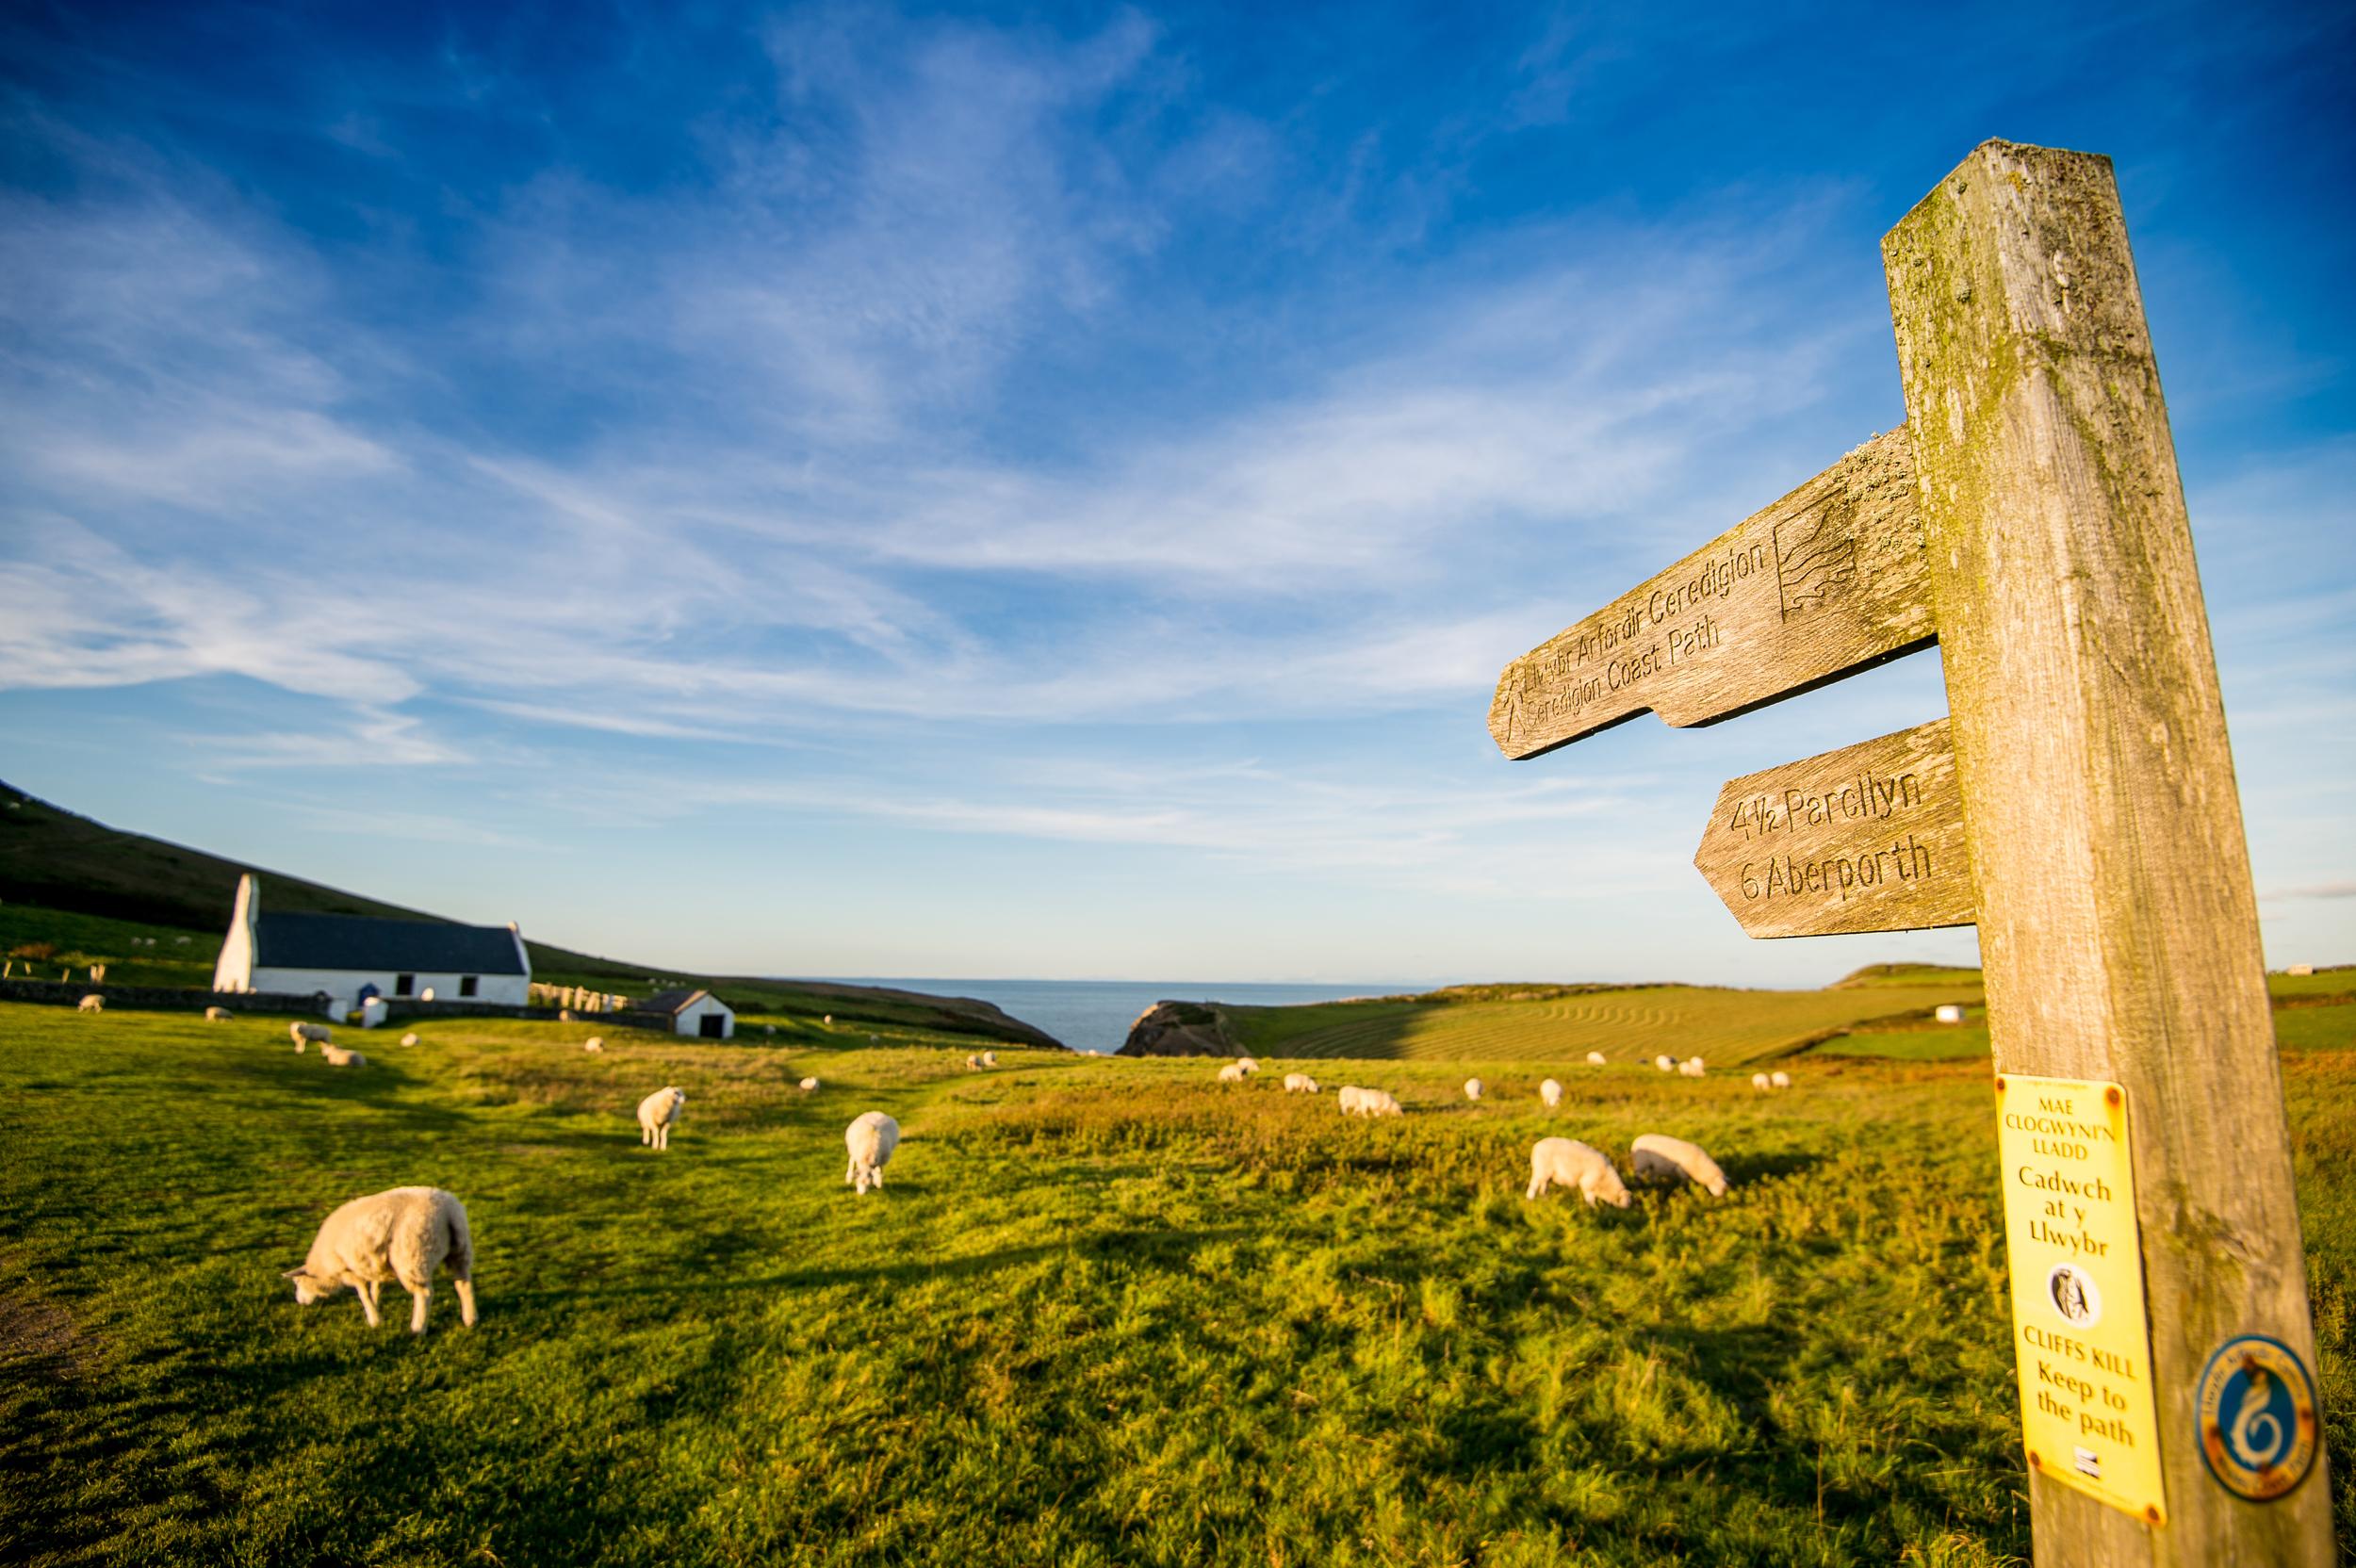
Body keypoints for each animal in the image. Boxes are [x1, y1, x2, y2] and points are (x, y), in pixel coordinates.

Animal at [280, 1186, 473, 1328]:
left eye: (297, 1282)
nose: (299, 1302)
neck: (324, 1268)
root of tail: (448, 1210)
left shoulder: (350, 1270)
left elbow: (363, 1293)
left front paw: (373, 1319)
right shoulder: (375, 1262)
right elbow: (375, 1288)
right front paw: (376, 1308)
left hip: (412, 1256)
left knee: (425, 1294)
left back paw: (417, 1329)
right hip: (460, 1249)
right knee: (463, 1283)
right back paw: (470, 1320)